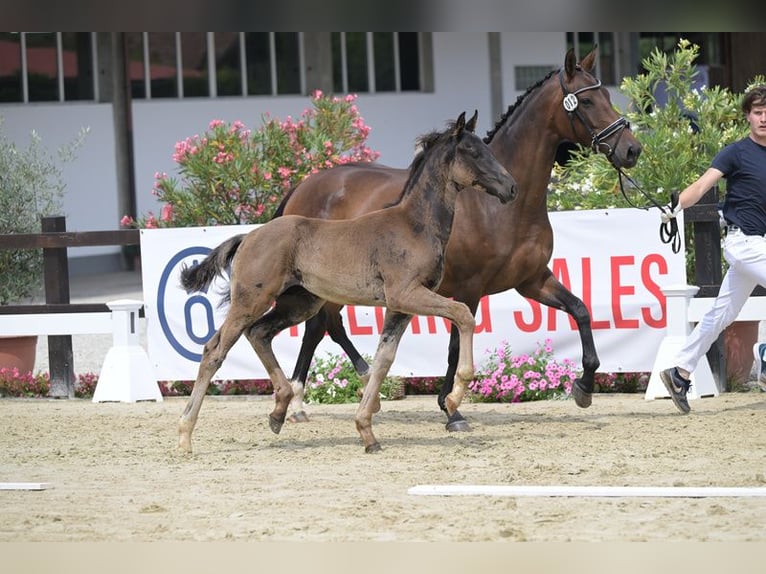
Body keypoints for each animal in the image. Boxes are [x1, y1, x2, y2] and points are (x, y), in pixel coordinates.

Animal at [177, 112, 520, 454]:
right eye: (473, 152)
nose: (511, 187)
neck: (415, 226)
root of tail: (248, 236)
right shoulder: (407, 294)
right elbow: (463, 314)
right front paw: (453, 397)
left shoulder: (400, 307)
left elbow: (384, 359)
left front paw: (367, 431)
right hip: (251, 300)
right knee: (214, 350)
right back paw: (185, 433)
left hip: (298, 303)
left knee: (259, 333)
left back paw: (279, 411)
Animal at [276, 46, 640, 432]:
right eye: (585, 101)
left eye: (606, 96)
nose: (632, 150)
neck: (499, 207)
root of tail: (305, 185)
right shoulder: (469, 287)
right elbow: (455, 345)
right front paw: (452, 410)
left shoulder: (532, 281)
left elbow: (581, 310)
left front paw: (584, 387)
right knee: (320, 326)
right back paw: (324, 394)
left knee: (321, 326)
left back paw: (336, 393)